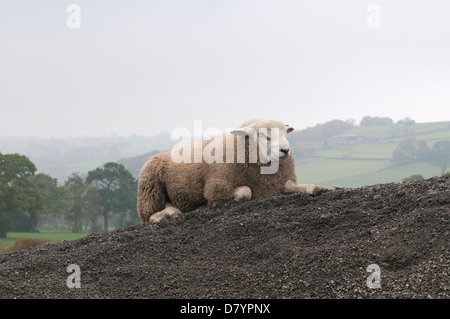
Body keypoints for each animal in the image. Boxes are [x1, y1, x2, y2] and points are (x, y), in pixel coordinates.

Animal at [135, 119, 326, 224]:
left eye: (285, 133)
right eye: (265, 136)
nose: (285, 150)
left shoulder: (276, 184)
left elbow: (296, 186)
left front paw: (315, 188)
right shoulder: (217, 187)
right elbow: (245, 192)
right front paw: (211, 204)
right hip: (150, 191)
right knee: (149, 217)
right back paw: (170, 212)